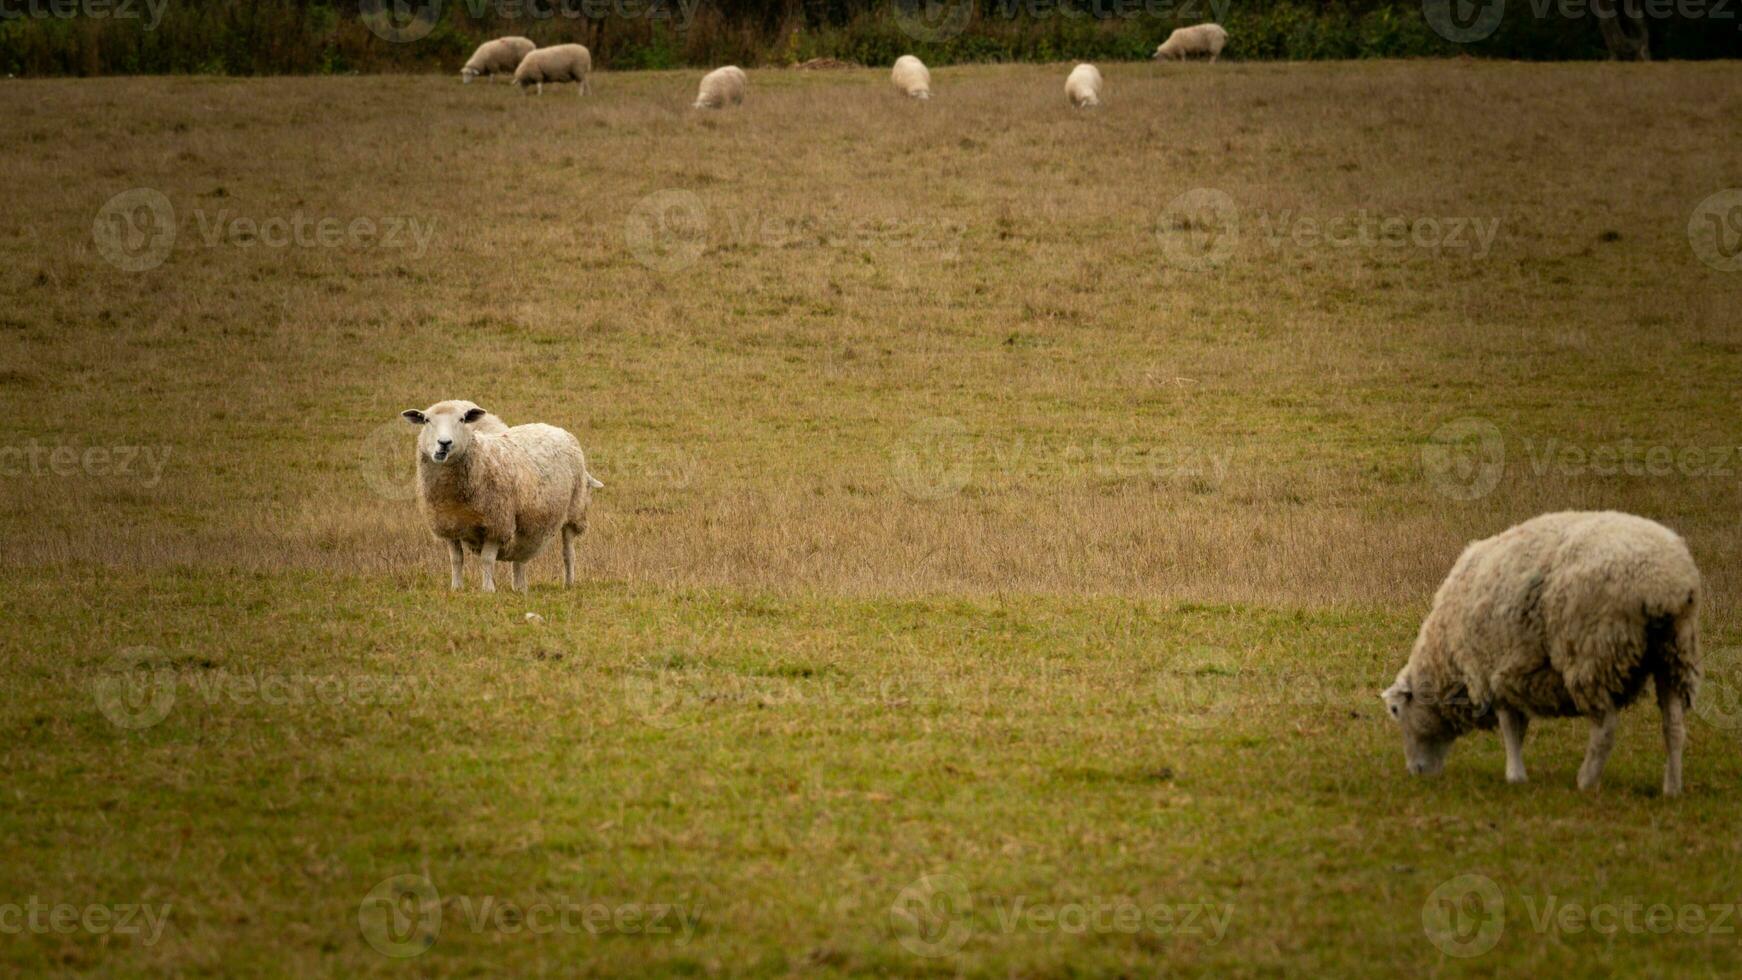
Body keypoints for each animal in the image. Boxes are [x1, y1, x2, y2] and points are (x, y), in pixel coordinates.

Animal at [400, 396, 606, 595]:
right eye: (426, 420)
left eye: (462, 419)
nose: (444, 443)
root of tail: (555, 428)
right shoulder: (448, 525)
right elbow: (456, 559)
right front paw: (456, 588)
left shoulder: (497, 524)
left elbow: (487, 560)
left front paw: (487, 590)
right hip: (527, 522)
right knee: (520, 556)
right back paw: (520, 587)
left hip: (574, 512)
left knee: (568, 553)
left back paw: (568, 583)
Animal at [1386, 515, 1700, 797]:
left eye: (1395, 710)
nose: (1416, 772)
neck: (1444, 657)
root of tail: (1663, 584)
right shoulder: (1510, 674)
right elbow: (1519, 726)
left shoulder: (1490, 671)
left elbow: (1510, 726)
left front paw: (1515, 775)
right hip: (1674, 652)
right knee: (1674, 726)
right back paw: (1672, 788)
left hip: (1592, 652)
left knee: (1606, 728)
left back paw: (1586, 781)